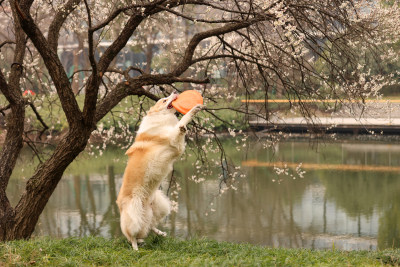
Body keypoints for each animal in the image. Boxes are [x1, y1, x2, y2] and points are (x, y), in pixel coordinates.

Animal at [115, 92, 203, 251]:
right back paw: (136, 248)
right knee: (131, 236)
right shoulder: (173, 138)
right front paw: (194, 110)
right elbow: (184, 120)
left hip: (161, 205)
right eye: (164, 100)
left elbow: (181, 126)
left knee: (150, 226)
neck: (160, 118)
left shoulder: (178, 145)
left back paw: (160, 233)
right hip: (134, 216)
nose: (175, 93)